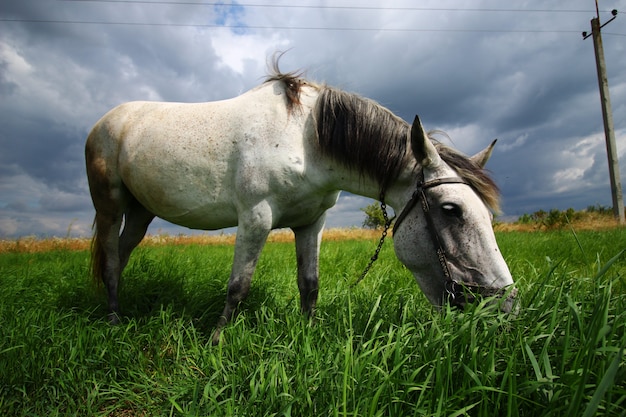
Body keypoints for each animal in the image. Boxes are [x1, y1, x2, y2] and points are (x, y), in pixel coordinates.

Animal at [86, 61, 516, 342]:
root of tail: (103, 123)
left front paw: (309, 334)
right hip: (109, 207)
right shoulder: (255, 219)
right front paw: (217, 342)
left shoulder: (312, 222)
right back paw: (113, 321)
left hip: (141, 213)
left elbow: (310, 284)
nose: (505, 306)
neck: (305, 138)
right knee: (109, 258)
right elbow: (238, 286)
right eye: (451, 210)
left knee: (121, 256)